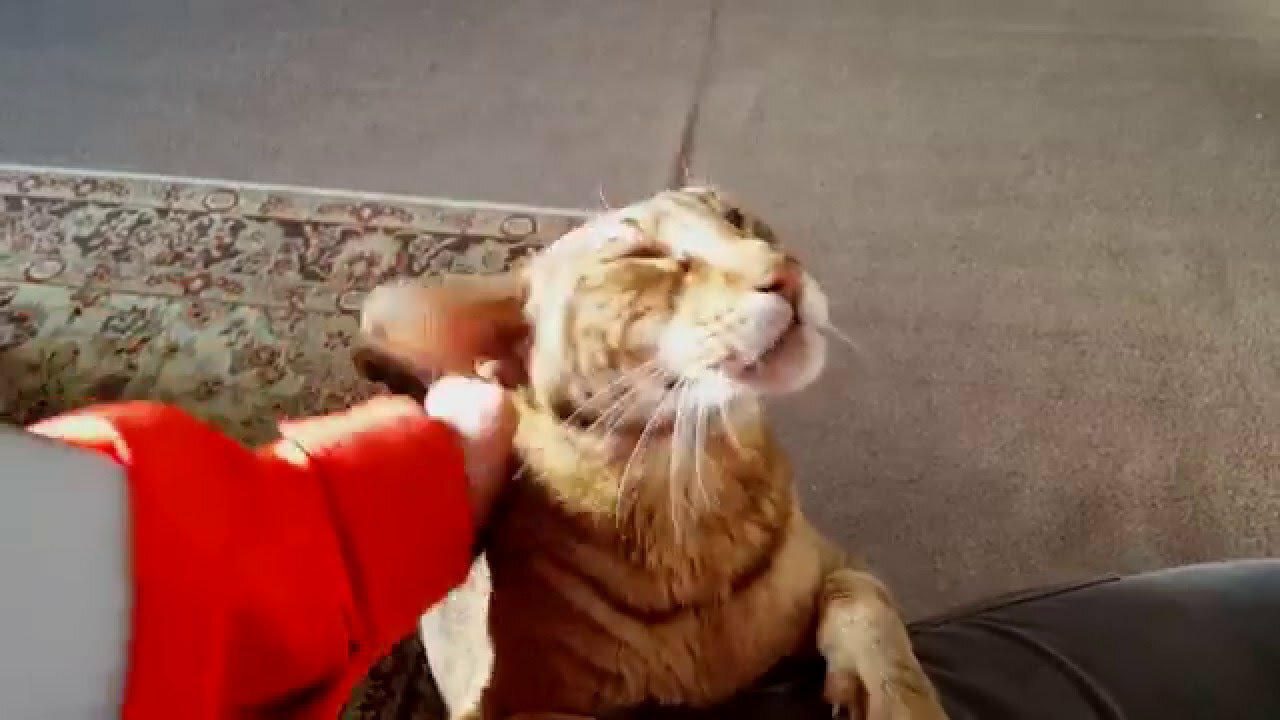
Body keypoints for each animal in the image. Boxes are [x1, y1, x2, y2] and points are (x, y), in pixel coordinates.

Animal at [355, 188, 947, 717]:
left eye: (736, 217)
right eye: (640, 256)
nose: (787, 270)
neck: (692, 485)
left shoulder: (843, 564)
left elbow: (865, 600)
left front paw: (899, 701)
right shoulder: (503, 705)